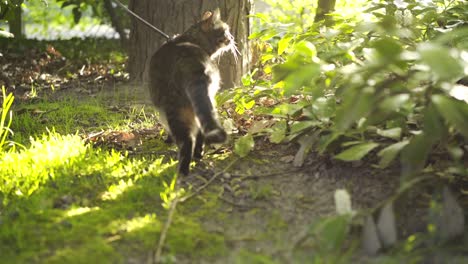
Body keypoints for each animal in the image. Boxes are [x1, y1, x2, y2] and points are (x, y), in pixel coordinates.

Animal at [149, 9, 238, 176]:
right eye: (226, 30)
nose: (232, 38)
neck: (193, 40)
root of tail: (193, 65)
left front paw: (167, 140)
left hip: (174, 109)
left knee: (187, 141)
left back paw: (182, 171)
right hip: (205, 103)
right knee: (200, 132)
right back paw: (197, 156)